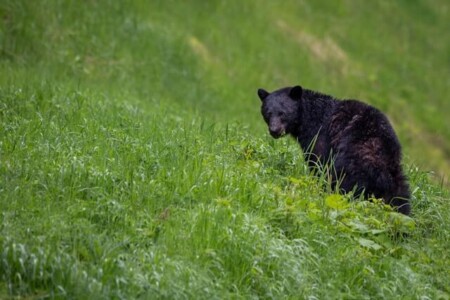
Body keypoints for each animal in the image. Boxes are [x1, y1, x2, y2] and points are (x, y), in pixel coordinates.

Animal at [256, 85, 412, 214]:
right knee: (400, 198)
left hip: (351, 161)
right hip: (396, 177)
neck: (308, 117)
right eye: (268, 113)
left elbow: (318, 162)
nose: (274, 130)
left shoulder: (320, 137)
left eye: (282, 113)